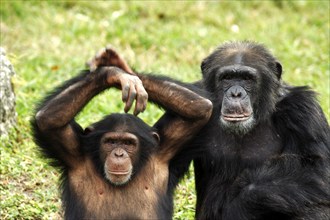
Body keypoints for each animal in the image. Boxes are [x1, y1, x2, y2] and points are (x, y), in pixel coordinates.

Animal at [31, 50, 211, 219]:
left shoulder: (168, 148)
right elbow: (48, 120)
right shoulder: (72, 150)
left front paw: (121, 66)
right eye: (111, 142)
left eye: (128, 143)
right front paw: (113, 72)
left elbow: (202, 108)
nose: (118, 154)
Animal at [189, 41, 330, 220]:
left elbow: (319, 169)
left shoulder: (304, 109)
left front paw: (239, 204)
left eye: (247, 79)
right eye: (226, 78)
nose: (236, 93)